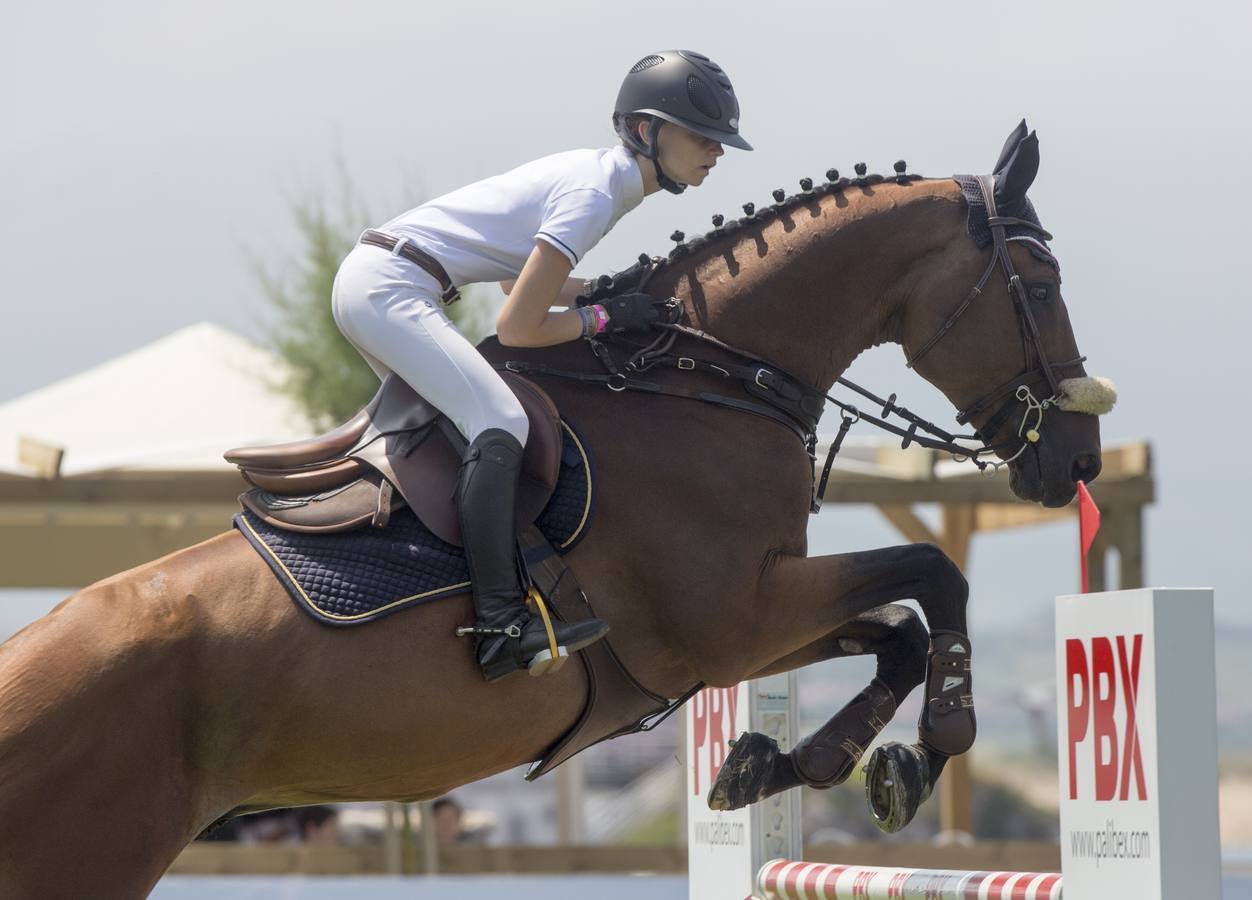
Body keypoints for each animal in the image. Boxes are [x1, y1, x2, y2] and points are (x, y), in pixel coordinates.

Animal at [0, 121, 1106, 900]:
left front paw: (788, 764)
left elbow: (895, 631)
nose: (1077, 459)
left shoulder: (731, 634)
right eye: (1042, 278)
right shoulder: (733, 618)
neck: (707, 381)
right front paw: (930, 746)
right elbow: (931, 579)